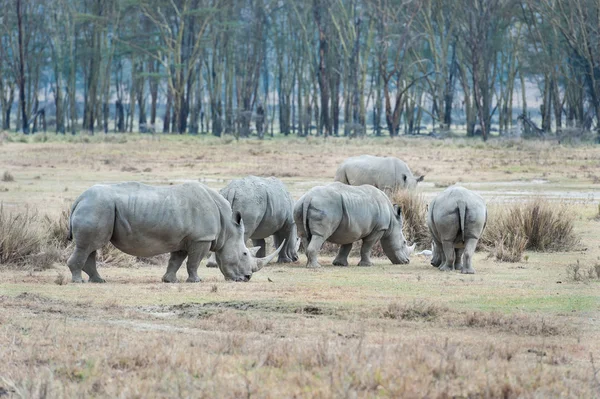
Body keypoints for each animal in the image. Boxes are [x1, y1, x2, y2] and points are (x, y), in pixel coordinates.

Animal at [66, 183, 284, 282]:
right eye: (245, 254)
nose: (247, 278)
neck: (227, 227)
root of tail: (78, 199)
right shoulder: (201, 238)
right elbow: (193, 262)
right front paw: (196, 281)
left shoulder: (185, 239)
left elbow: (176, 260)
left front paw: (169, 280)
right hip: (98, 207)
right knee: (88, 246)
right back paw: (78, 281)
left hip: (98, 207)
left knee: (92, 246)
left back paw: (98, 281)